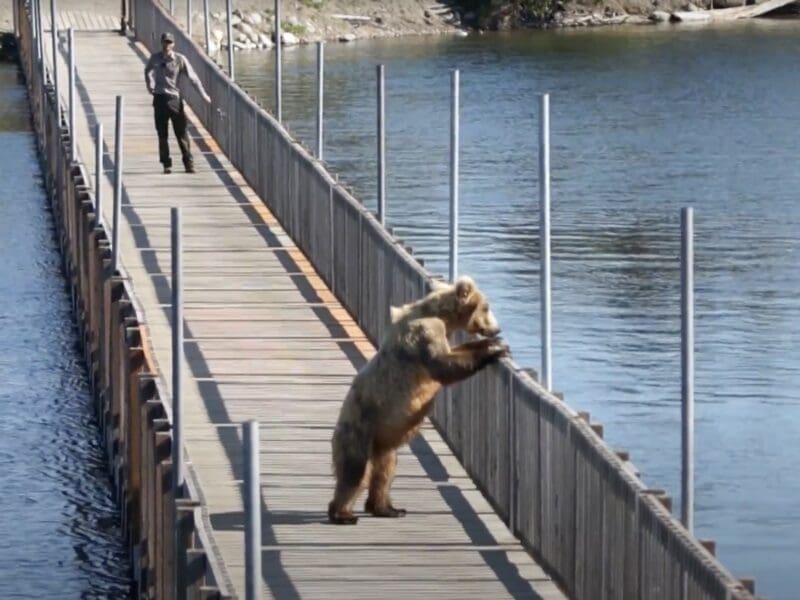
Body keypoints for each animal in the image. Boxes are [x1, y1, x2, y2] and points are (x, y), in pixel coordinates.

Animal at [327, 275, 509, 525]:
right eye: (486, 307)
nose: (497, 328)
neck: (442, 316)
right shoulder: (425, 333)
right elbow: (444, 365)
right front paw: (494, 348)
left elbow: (456, 352)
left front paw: (492, 344)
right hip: (359, 427)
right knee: (355, 470)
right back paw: (342, 513)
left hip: (383, 441)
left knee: (385, 470)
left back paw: (387, 508)